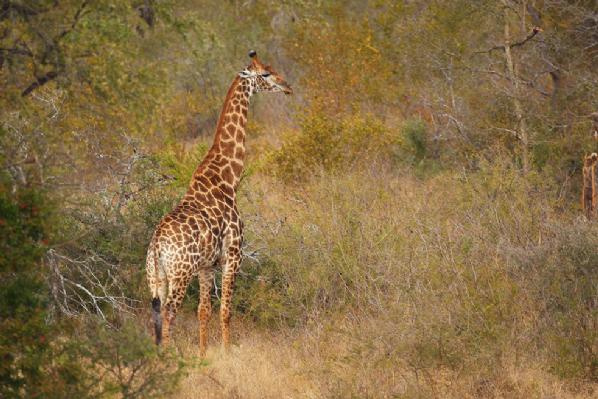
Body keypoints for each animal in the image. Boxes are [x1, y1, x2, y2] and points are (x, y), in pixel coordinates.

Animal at [148, 50, 292, 356]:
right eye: (265, 74)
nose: (287, 87)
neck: (227, 178)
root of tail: (156, 246)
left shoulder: (206, 266)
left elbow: (204, 310)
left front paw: (204, 354)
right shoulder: (233, 255)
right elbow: (226, 309)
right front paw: (227, 351)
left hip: (156, 277)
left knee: (155, 310)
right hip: (180, 273)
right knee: (169, 312)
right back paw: (169, 356)